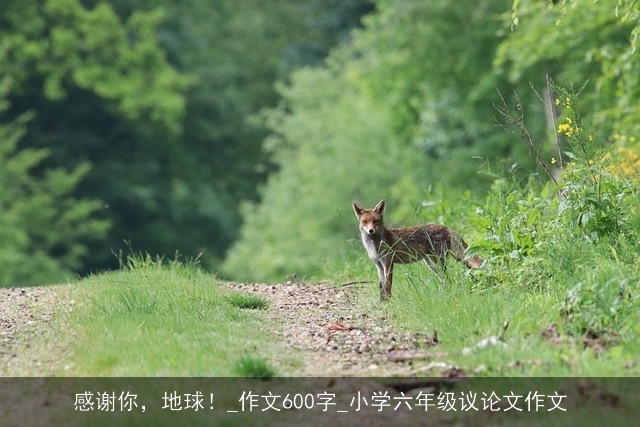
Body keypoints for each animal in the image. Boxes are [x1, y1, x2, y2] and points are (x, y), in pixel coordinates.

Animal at [352, 201, 482, 300]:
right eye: (365, 221)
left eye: (376, 221)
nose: (371, 231)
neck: (375, 246)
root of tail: (446, 227)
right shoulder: (379, 265)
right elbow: (381, 287)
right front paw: (382, 301)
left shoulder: (388, 263)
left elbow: (388, 286)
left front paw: (388, 301)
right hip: (431, 264)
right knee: (446, 279)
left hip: (437, 262)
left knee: (449, 279)